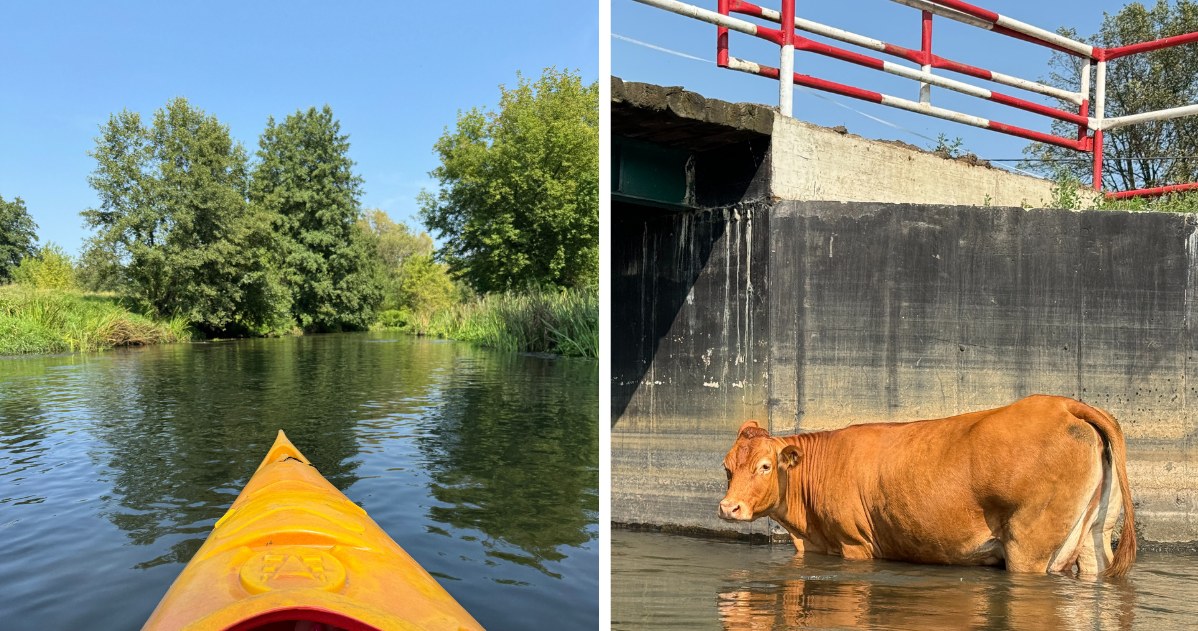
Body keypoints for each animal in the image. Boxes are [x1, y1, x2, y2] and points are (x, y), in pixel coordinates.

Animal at [714, 397, 1135, 579]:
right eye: (727, 466)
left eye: (765, 466)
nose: (729, 508)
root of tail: (1063, 403)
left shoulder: (854, 543)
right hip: (1095, 532)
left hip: (1029, 544)